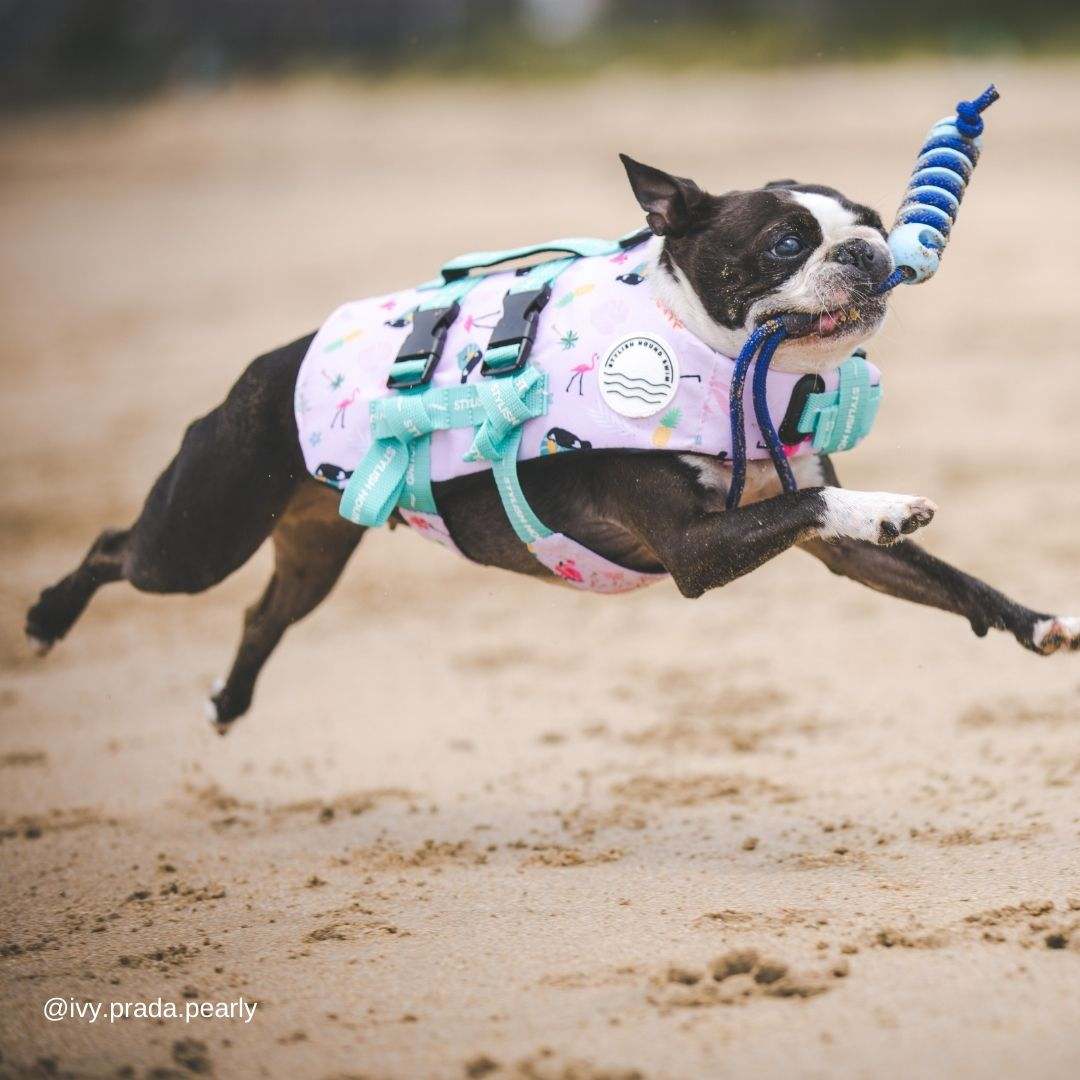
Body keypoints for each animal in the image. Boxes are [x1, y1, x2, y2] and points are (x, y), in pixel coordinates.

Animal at [25, 156, 1080, 730]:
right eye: (786, 244)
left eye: (867, 223)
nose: (868, 252)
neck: (719, 360)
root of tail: (265, 366)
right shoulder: (695, 552)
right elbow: (822, 501)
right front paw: (896, 503)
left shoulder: (828, 550)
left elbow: (945, 580)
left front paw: (1035, 622)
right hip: (202, 529)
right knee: (118, 549)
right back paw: (46, 616)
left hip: (314, 542)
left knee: (259, 614)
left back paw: (227, 701)